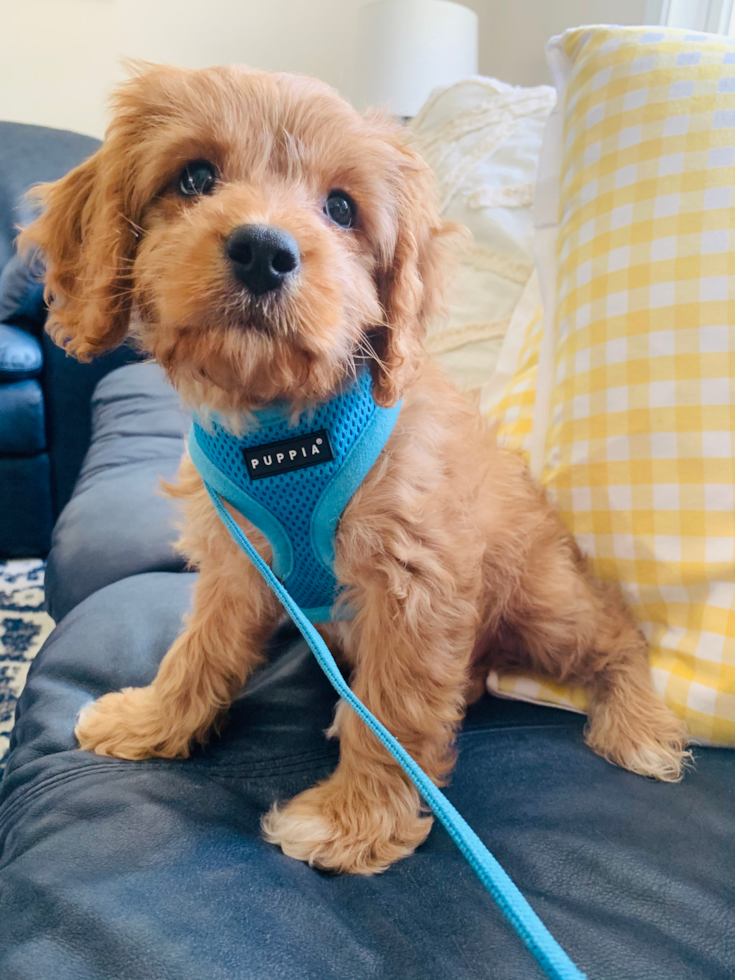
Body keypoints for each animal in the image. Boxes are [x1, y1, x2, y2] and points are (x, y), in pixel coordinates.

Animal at [21, 63, 688, 872]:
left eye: (341, 208)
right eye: (195, 177)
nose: (263, 250)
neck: (284, 424)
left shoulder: (416, 580)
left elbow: (393, 712)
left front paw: (353, 821)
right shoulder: (240, 558)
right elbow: (199, 646)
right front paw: (153, 720)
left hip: (542, 600)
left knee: (617, 632)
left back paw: (639, 725)